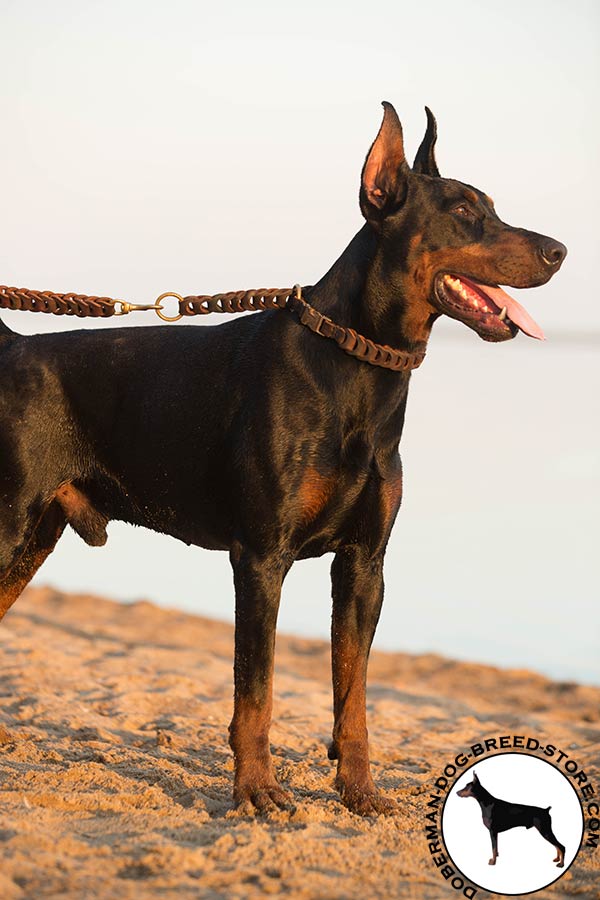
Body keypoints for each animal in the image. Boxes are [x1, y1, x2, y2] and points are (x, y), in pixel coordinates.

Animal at [0, 103, 564, 816]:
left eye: (491, 205)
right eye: (462, 210)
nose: (560, 251)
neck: (356, 366)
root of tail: (11, 347)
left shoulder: (364, 565)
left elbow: (353, 695)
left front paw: (361, 792)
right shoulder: (262, 558)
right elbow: (257, 691)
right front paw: (258, 792)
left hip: (34, 537)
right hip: (8, 525)